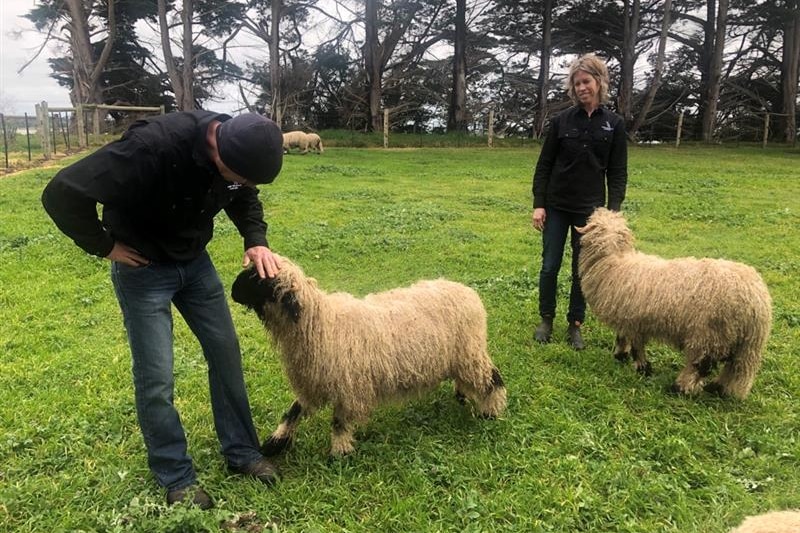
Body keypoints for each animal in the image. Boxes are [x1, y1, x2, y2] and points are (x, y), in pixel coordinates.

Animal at [231, 256, 506, 456]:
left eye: (259, 279)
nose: (232, 292)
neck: (320, 324)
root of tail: (468, 292)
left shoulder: (348, 386)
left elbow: (339, 422)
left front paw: (340, 453)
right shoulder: (313, 382)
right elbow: (294, 411)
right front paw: (275, 443)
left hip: (469, 352)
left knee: (492, 378)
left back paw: (491, 411)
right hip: (459, 356)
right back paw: (462, 396)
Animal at [580, 208, 772, 400]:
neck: (614, 262)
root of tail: (756, 299)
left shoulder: (633, 321)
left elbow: (636, 347)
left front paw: (642, 368)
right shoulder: (627, 319)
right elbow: (622, 338)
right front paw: (622, 356)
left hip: (709, 334)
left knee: (700, 366)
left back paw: (681, 388)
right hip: (747, 345)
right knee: (737, 369)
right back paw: (720, 389)